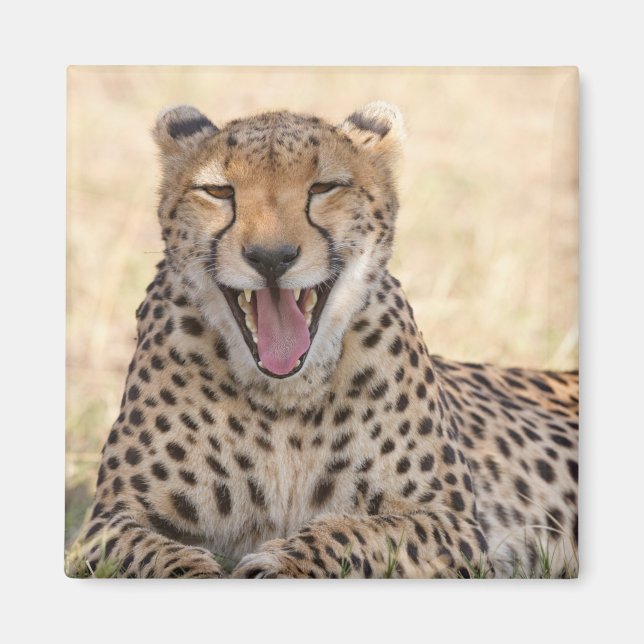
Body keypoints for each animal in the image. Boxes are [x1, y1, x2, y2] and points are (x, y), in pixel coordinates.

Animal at [68, 102, 579, 579]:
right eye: (218, 191)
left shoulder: (451, 524)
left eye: (323, 188)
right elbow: (158, 555)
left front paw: (280, 564)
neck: (283, 398)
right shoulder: (107, 524)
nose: (271, 257)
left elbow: (356, 533)